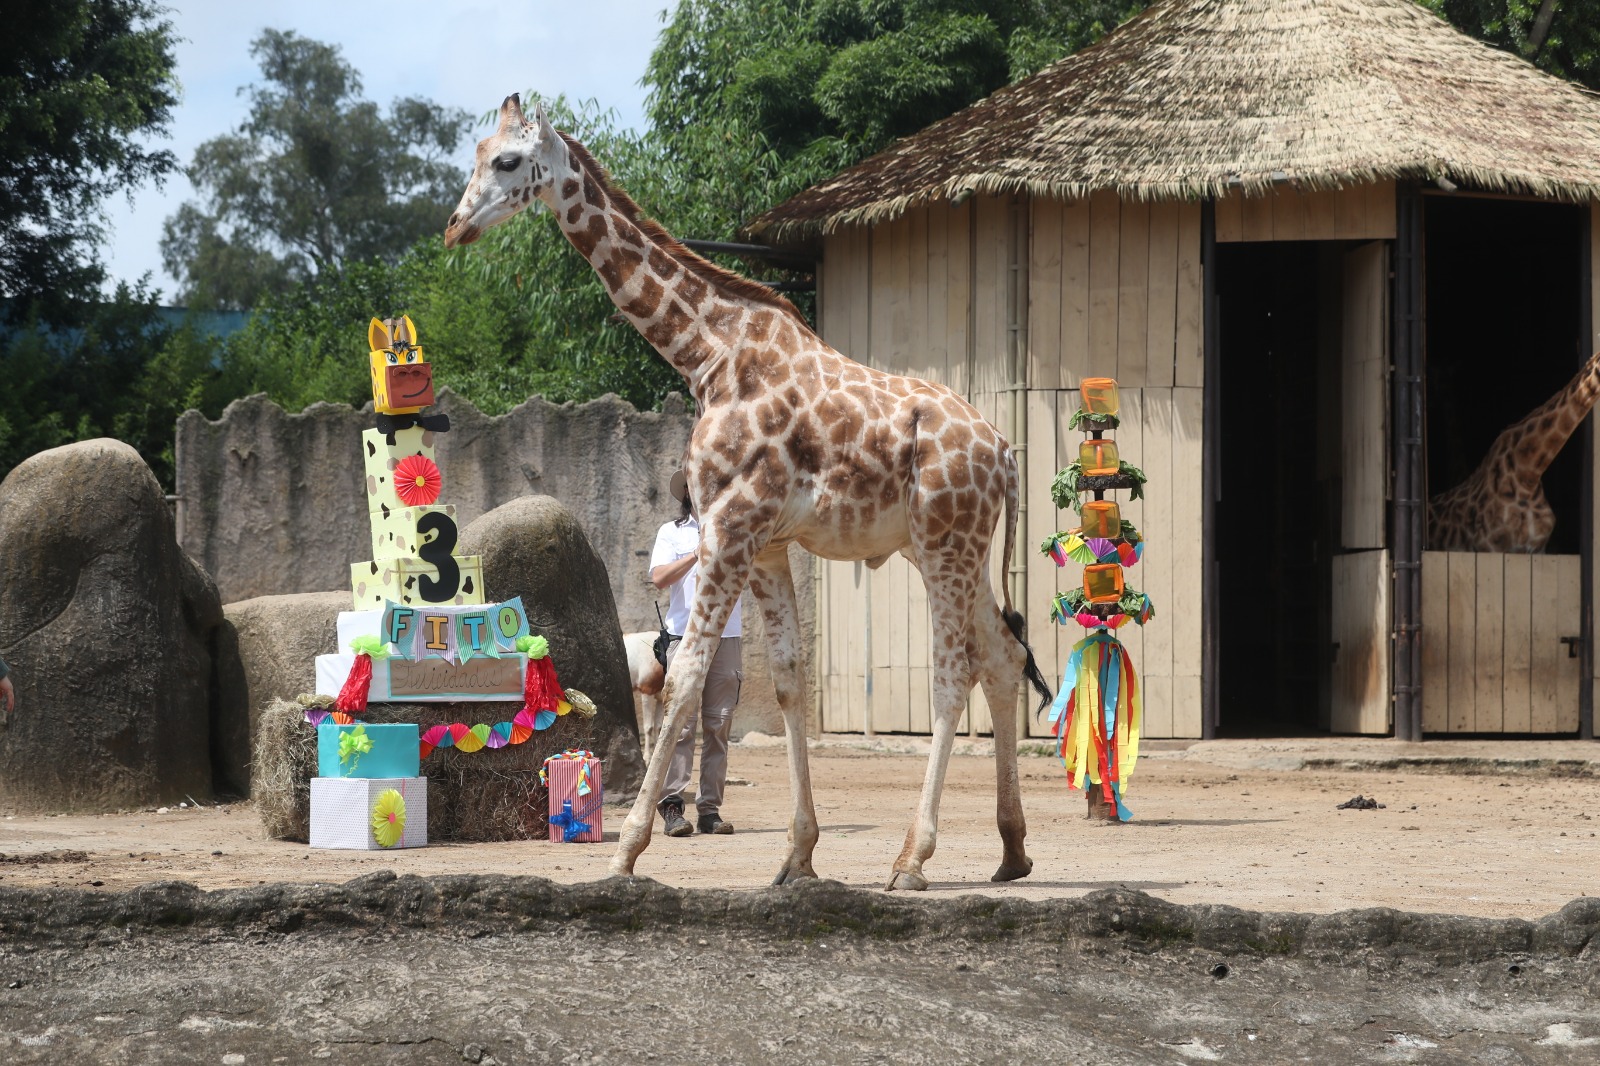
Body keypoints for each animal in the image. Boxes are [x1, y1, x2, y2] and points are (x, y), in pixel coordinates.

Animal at [444, 95, 1056, 883]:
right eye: (475, 154)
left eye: (508, 160)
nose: (456, 226)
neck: (707, 354)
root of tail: (1005, 452)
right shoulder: (765, 543)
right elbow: (791, 680)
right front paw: (797, 856)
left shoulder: (730, 526)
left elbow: (686, 677)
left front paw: (627, 850)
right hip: (949, 548)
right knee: (1005, 658)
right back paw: (1012, 850)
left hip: (946, 544)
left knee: (954, 673)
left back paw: (911, 859)